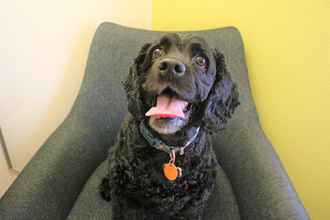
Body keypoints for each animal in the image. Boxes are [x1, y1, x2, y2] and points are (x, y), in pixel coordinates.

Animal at [99, 33, 238, 220]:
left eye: (201, 60)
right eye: (157, 52)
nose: (170, 66)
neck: (169, 148)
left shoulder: (193, 205)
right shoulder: (125, 201)